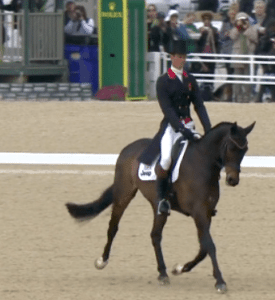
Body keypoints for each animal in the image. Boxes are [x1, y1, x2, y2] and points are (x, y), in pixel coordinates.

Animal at [66, 121, 256, 292]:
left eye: (245, 150)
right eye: (231, 147)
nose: (233, 180)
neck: (203, 163)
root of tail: (128, 148)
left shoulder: (207, 213)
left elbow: (203, 247)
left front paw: (180, 268)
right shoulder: (199, 212)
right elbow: (209, 245)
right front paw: (220, 282)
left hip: (158, 206)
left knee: (155, 235)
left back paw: (163, 274)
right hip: (123, 194)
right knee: (113, 226)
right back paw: (102, 261)